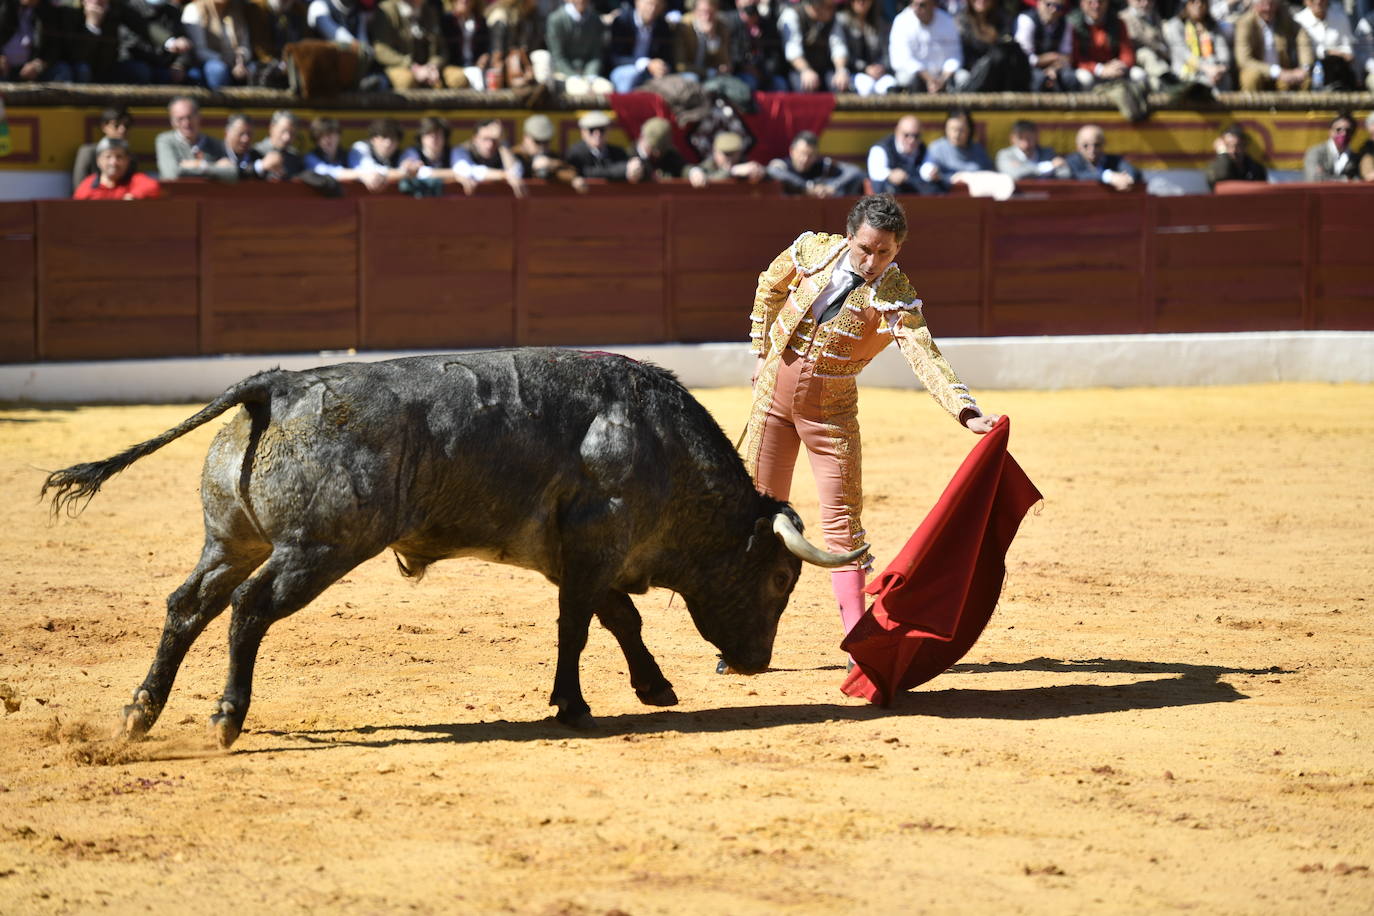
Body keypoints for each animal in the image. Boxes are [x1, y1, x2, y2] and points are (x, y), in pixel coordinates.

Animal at [42, 347, 857, 747]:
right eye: (781, 580)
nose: (754, 663)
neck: (659, 445)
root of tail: (277, 385)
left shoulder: (578, 555)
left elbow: (617, 620)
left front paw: (654, 688)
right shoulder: (594, 546)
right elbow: (581, 626)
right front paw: (573, 705)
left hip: (229, 540)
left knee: (188, 606)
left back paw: (139, 713)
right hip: (318, 548)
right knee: (248, 609)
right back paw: (224, 719)